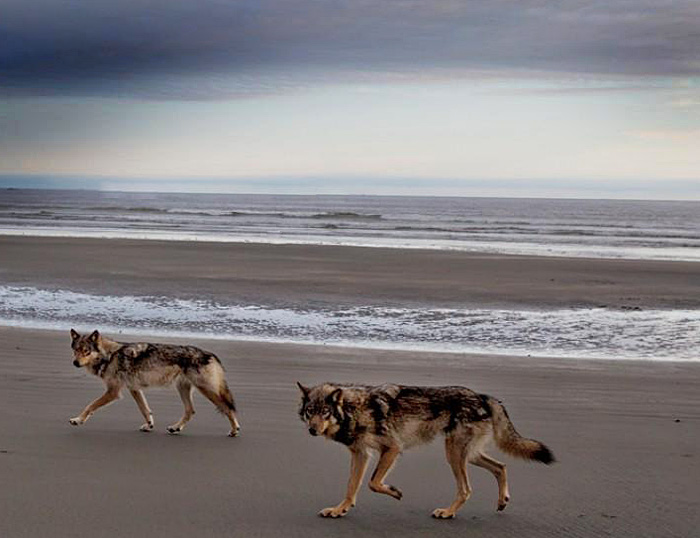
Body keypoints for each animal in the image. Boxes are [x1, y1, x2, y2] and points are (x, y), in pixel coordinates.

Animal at [69, 326, 241, 436]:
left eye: (86, 351)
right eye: (76, 350)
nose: (75, 363)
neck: (109, 356)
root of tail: (211, 355)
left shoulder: (113, 392)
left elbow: (90, 405)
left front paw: (78, 420)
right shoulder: (134, 389)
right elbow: (145, 410)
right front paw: (149, 425)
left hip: (206, 390)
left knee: (227, 408)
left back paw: (234, 430)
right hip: (183, 389)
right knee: (190, 411)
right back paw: (175, 428)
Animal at [298, 378, 556, 516]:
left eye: (325, 412)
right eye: (310, 411)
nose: (312, 430)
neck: (353, 410)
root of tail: (482, 396)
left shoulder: (392, 448)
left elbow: (373, 483)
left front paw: (394, 491)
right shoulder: (360, 454)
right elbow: (351, 487)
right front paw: (339, 510)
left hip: (454, 455)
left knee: (466, 489)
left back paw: (448, 513)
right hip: (466, 455)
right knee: (500, 467)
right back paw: (502, 501)